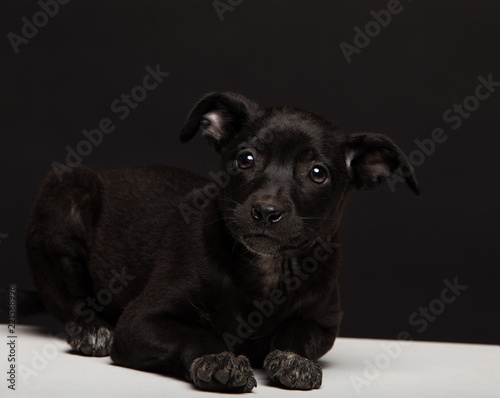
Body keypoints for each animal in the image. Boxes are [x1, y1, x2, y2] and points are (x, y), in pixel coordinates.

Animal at [26, 92, 418, 392]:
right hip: (68, 187)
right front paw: (217, 360)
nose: (266, 211)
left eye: (318, 174)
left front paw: (293, 360)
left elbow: (298, 332)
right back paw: (90, 329)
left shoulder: (323, 323)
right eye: (245, 159)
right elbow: (193, 335)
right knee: (70, 296)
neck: (268, 269)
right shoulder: (140, 321)